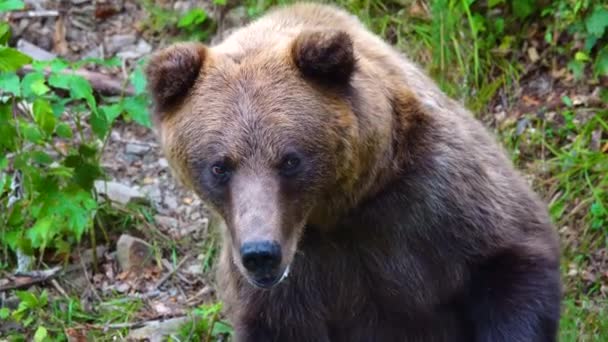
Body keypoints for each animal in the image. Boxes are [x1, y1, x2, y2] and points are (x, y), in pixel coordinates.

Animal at [146, 3, 560, 342]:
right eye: (219, 166)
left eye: (290, 160)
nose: (260, 253)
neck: (337, 211)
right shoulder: (293, 282)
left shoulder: (436, 198)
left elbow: (512, 259)